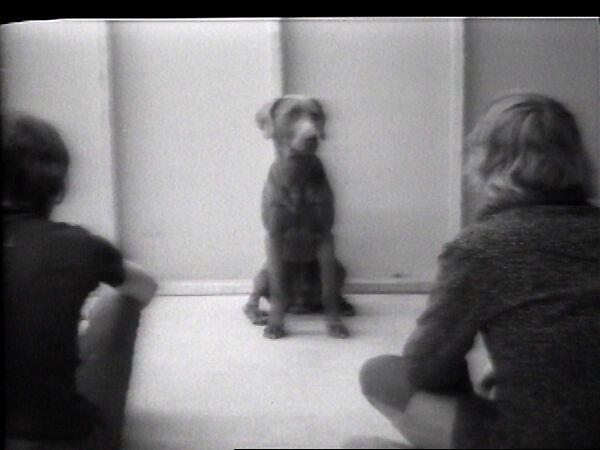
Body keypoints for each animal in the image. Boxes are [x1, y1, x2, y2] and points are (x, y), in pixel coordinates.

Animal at [244, 95, 354, 339]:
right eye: (291, 115)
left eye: (316, 115)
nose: (312, 137)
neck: (296, 173)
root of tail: (299, 305)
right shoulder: (273, 236)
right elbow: (277, 291)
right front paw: (275, 325)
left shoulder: (325, 235)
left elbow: (329, 290)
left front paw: (335, 324)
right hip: (264, 270)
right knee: (253, 299)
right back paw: (257, 315)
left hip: (340, 266)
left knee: (333, 290)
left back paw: (345, 306)